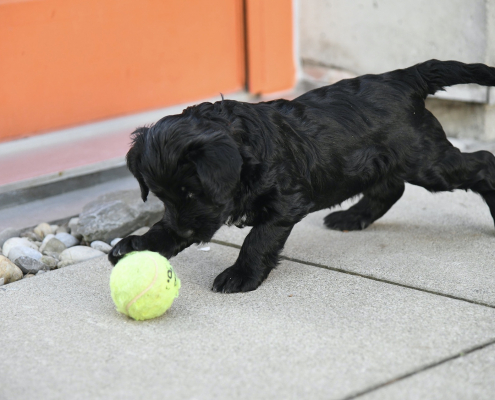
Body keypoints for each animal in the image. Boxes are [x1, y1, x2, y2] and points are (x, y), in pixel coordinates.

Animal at [109, 59, 495, 293]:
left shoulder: (285, 202)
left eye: (193, 192)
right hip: (383, 160)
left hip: (425, 160)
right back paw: (351, 217)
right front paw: (137, 245)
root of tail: (403, 77)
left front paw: (240, 275)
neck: (244, 150)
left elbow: (258, 240)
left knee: (483, 162)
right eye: (161, 196)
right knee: (391, 187)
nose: (185, 232)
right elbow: (163, 229)